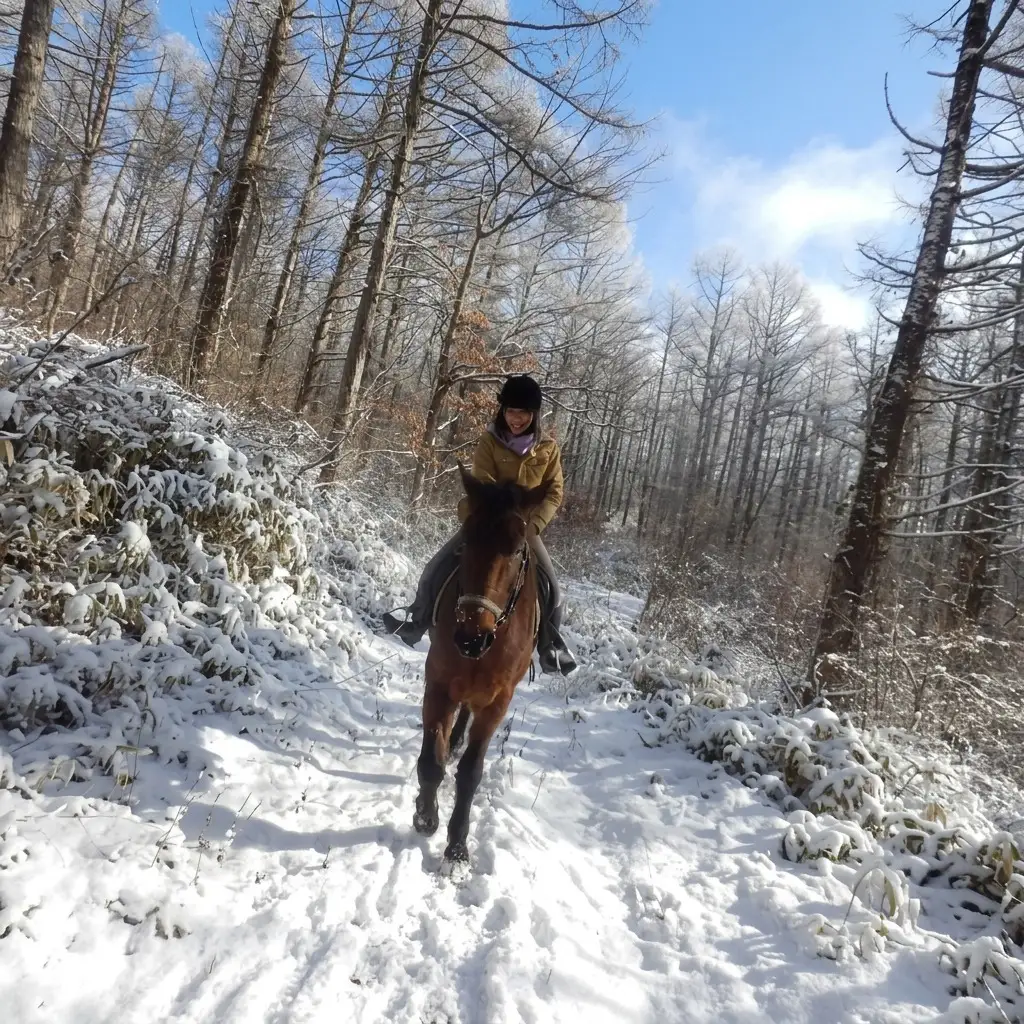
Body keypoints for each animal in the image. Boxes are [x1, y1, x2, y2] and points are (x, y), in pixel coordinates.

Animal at [412, 466, 551, 864]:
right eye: (467, 539)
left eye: (518, 548)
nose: (471, 638)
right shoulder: (439, 684)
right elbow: (430, 761)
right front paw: (426, 815)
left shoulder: (497, 702)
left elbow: (471, 772)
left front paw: (458, 844)